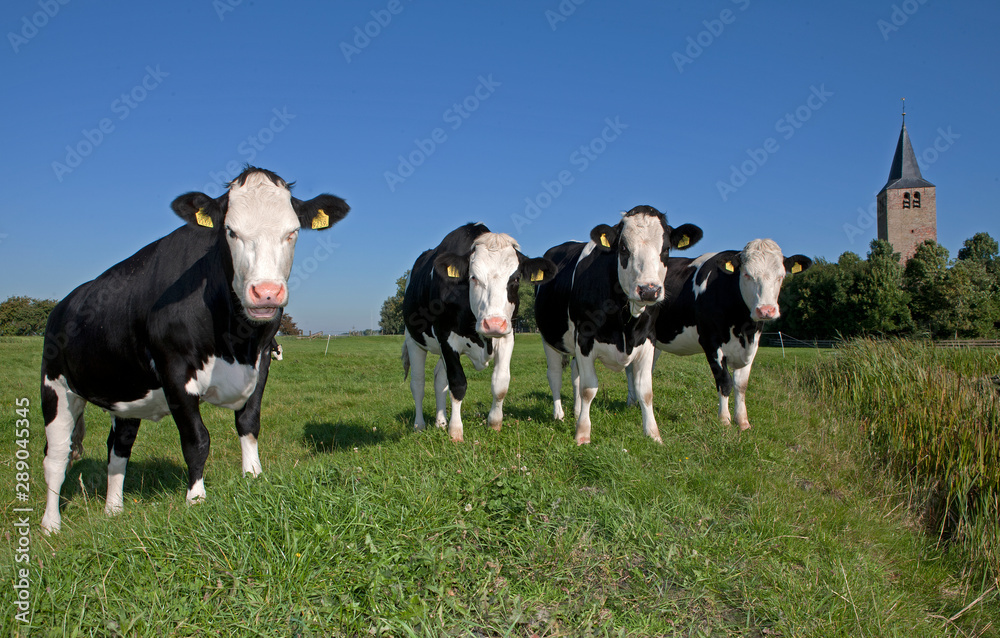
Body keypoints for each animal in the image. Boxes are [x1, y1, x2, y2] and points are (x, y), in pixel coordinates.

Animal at [39, 166, 350, 536]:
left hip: (124, 392)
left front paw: (253, 476)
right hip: (56, 386)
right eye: (230, 231)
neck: (236, 341)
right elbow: (197, 439)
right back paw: (50, 524)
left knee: (119, 446)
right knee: (56, 455)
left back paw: (113, 510)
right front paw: (196, 498)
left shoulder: (260, 364)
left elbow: (249, 423)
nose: (266, 293)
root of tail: (63, 305)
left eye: (292, 232)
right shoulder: (174, 372)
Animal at [402, 222, 560, 442]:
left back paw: (440, 422)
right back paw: (419, 425)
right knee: (418, 383)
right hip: (413, 340)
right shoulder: (445, 338)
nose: (493, 323)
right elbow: (458, 383)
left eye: (516, 278)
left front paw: (494, 423)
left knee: (439, 378)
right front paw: (455, 432)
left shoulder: (507, 336)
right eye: (473, 277)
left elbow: (500, 383)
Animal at [532, 206, 704, 444]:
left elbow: (645, 391)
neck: (625, 323)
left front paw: (653, 434)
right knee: (555, 374)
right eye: (623, 248)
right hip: (549, 337)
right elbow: (589, 388)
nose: (649, 290)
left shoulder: (648, 340)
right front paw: (583, 434)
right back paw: (559, 415)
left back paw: (576, 411)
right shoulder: (584, 338)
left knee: (575, 374)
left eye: (666, 248)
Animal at [624, 239, 812, 430]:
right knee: (630, 368)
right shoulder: (711, 342)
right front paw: (724, 420)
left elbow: (741, 385)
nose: (766, 310)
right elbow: (725, 381)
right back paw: (631, 401)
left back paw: (634, 403)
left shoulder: (752, 346)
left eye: (781, 276)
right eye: (747, 274)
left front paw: (742, 421)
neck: (744, 327)